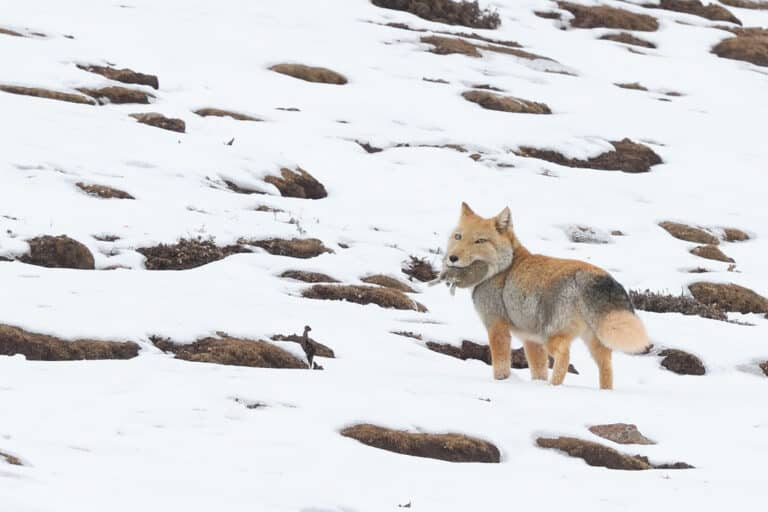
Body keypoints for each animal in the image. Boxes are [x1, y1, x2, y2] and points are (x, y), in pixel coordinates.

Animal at [437, 202, 650, 390]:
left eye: (480, 241)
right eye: (458, 237)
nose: (452, 258)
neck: (503, 268)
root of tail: (593, 274)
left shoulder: (496, 326)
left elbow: (501, 366)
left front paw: (502, 383)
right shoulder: (531, 340)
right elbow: (539, 370)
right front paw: (536, 385)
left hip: (553, 337)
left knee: (565, 357)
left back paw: (554, 387)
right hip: (595, 344)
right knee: (606, 369)